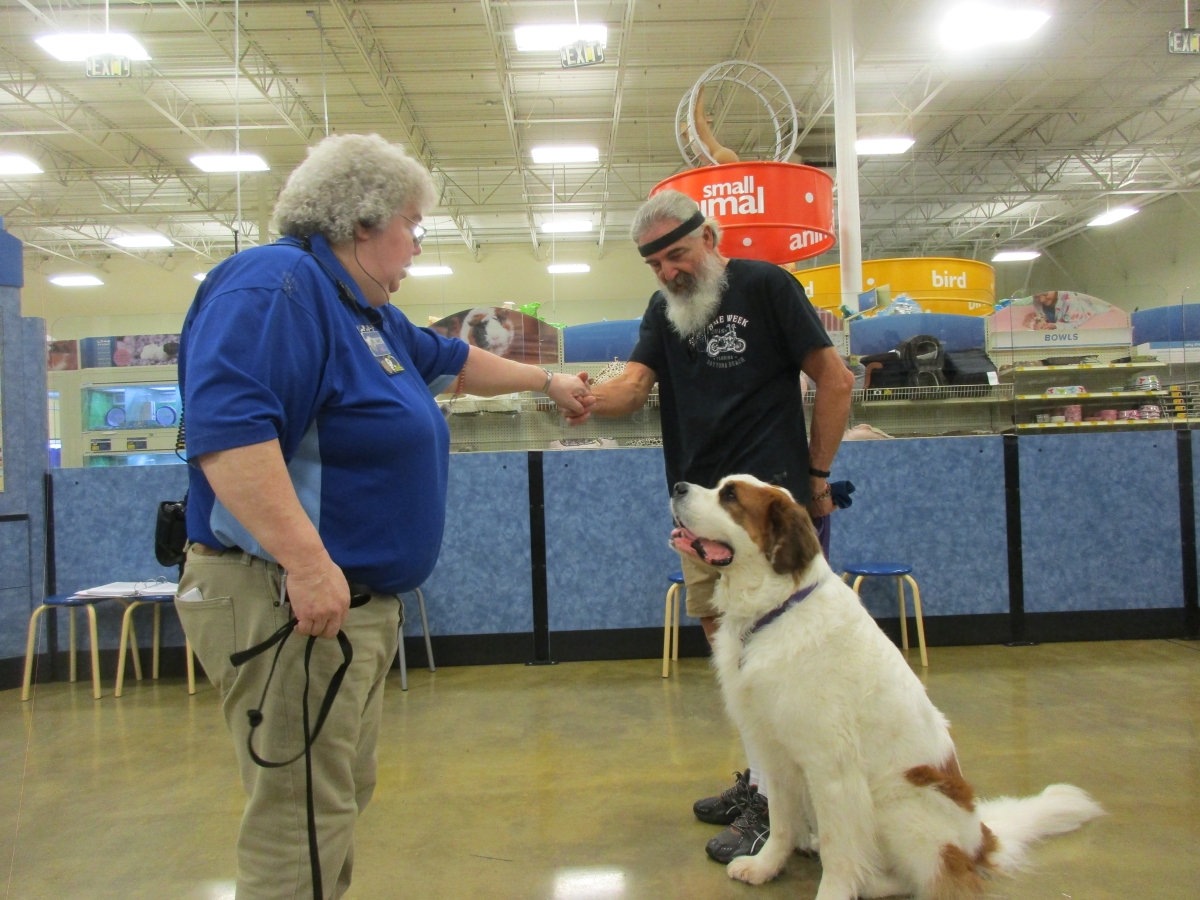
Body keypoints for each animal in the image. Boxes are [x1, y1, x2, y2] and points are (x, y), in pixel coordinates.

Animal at [670, 475, 1102, 900]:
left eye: (730, 496)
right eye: (719, 485)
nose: (677, 487)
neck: (776, 610)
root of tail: (980, 839)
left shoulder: (832, 769)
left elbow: (839, 847)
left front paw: (834, 890)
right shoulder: (774, 749)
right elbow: (780, 821)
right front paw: (765, 867)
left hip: (899, 806)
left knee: (934, 877)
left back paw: (873, 880)